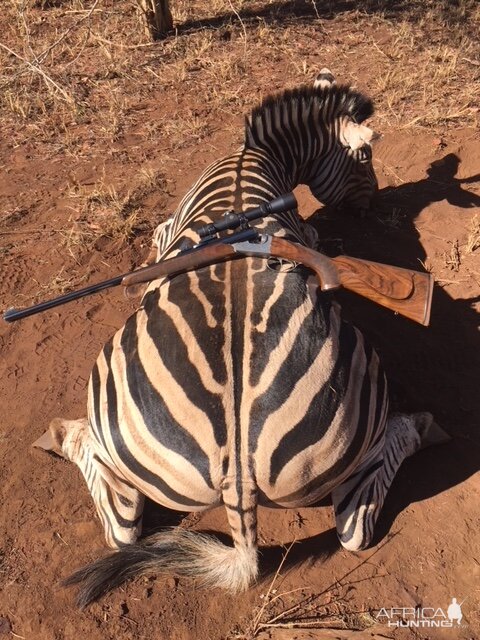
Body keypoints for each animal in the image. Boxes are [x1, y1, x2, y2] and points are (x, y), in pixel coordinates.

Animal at [34, 69, 450, 604]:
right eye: (364, 158)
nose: (372, 202)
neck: (258, 155)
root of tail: (238, 482)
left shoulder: (174, 228)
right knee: (353, 528)